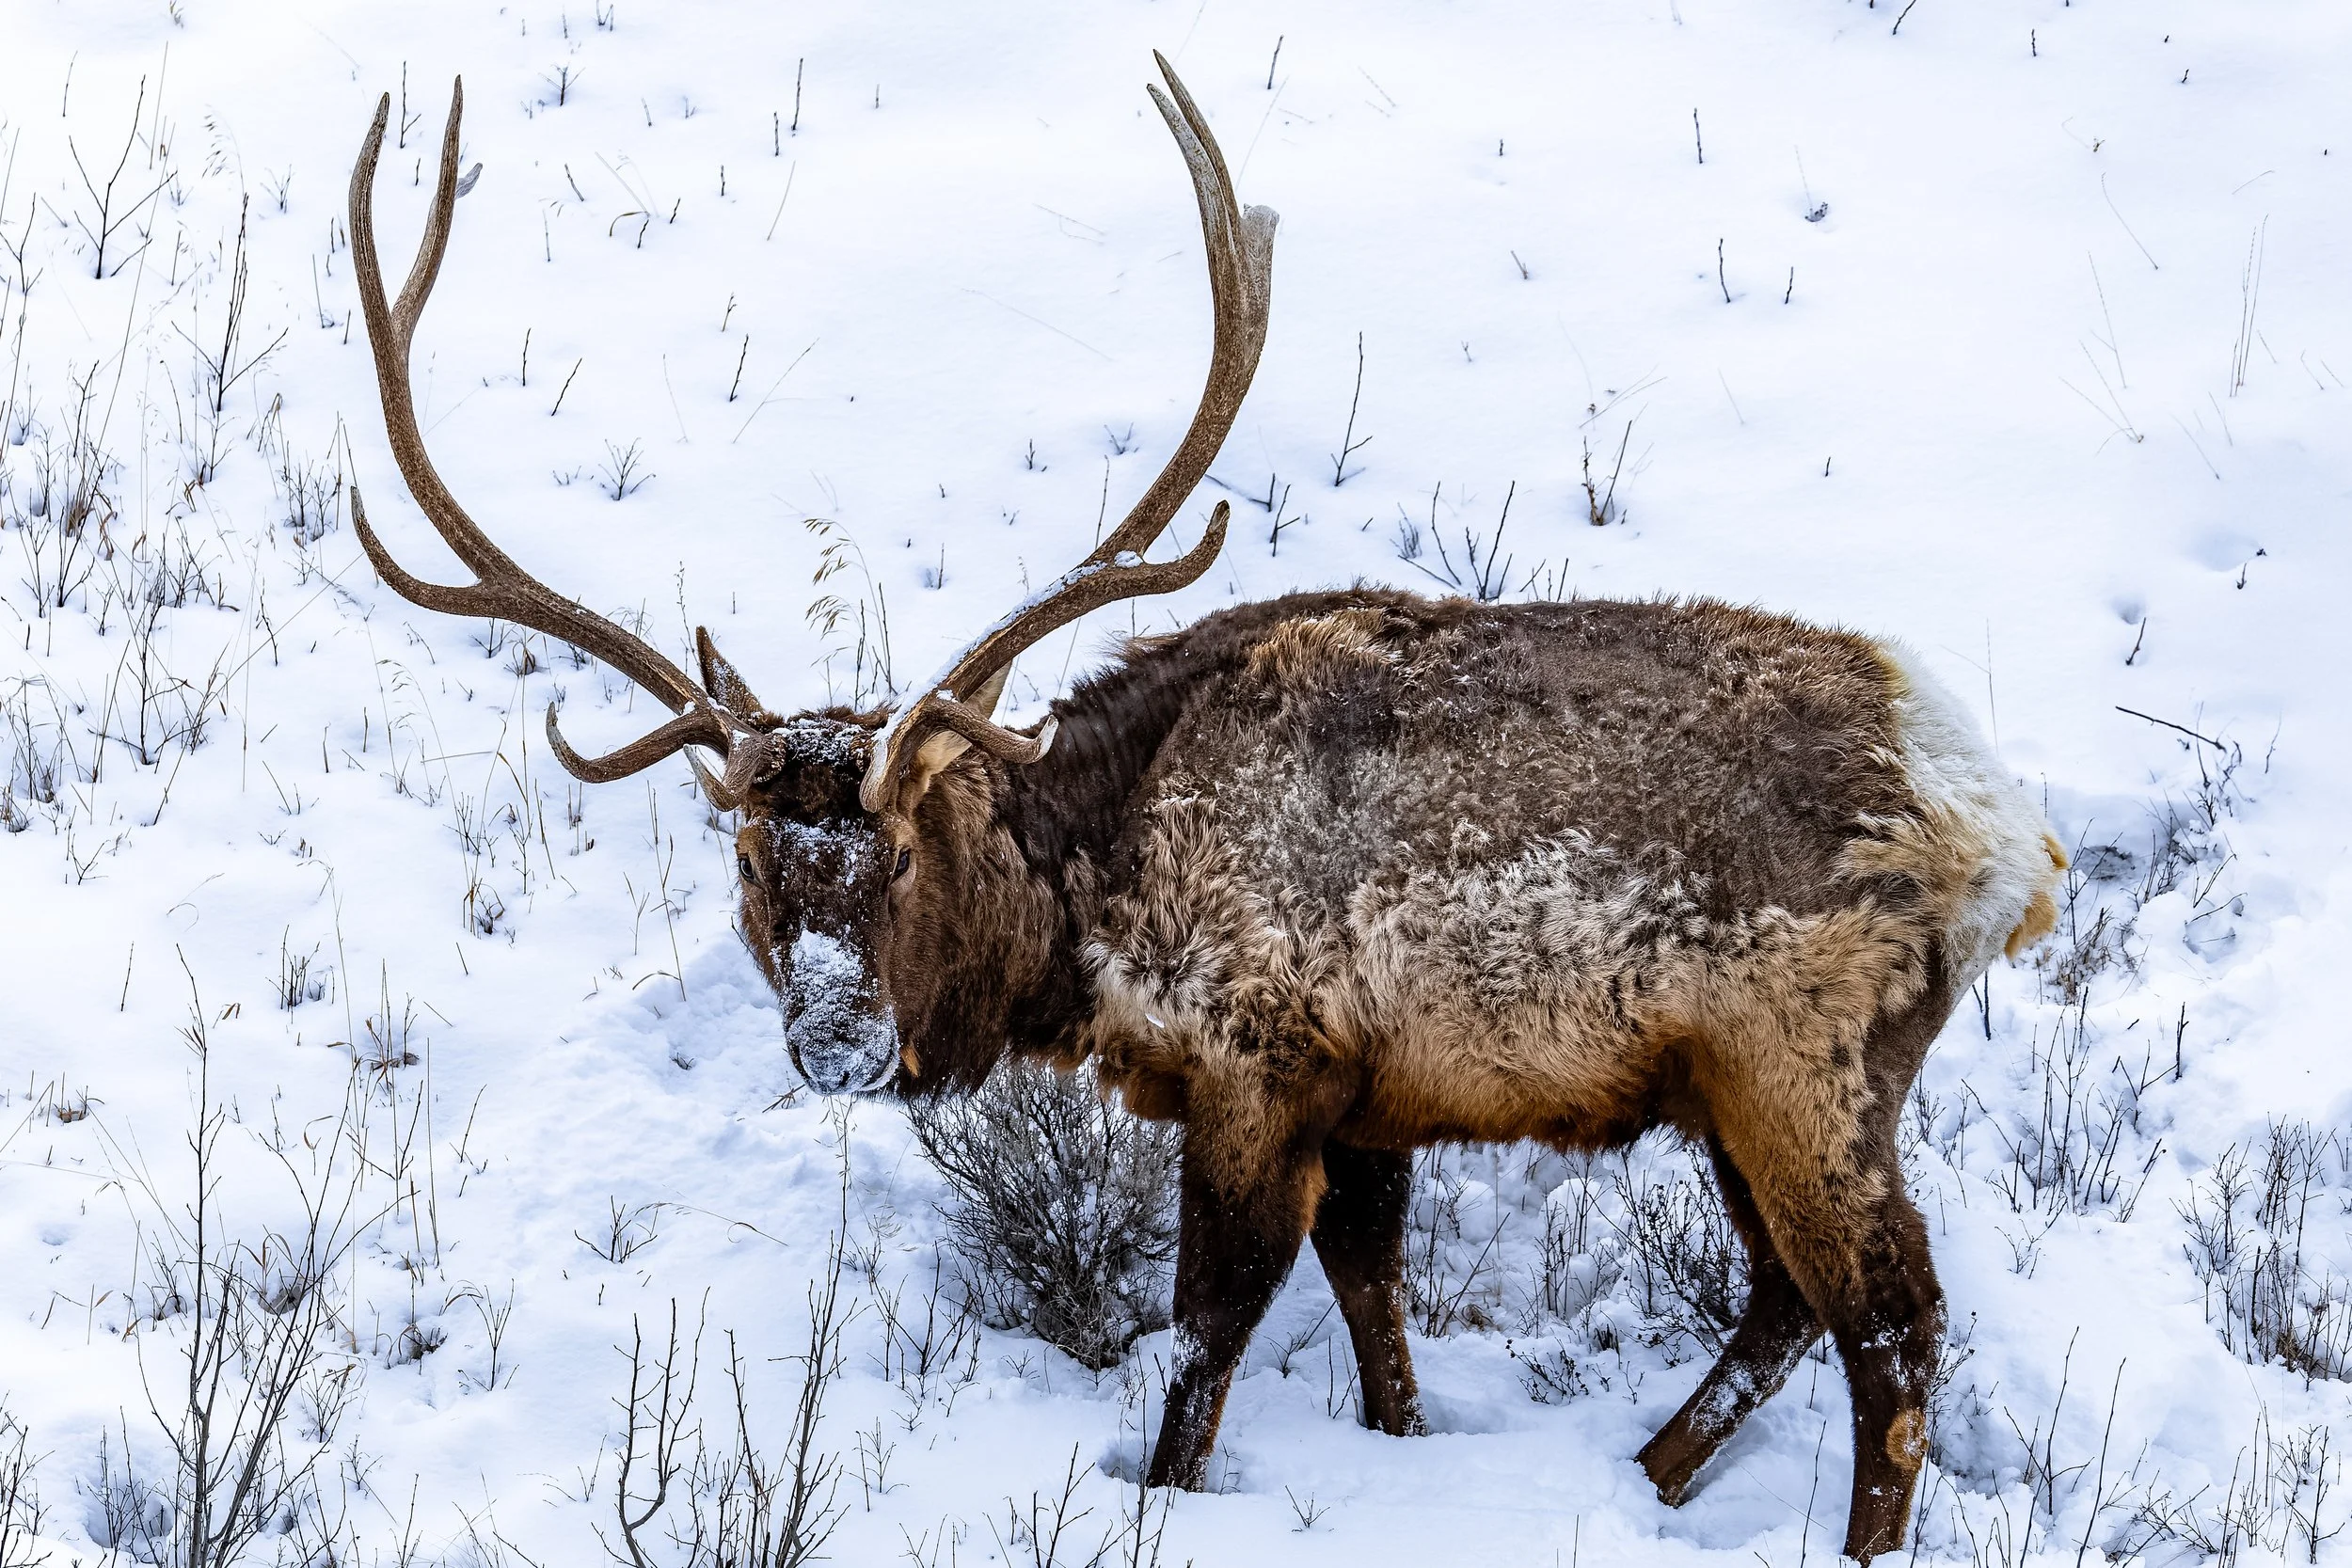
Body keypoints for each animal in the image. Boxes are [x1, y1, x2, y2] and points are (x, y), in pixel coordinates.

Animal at [348, 58, 2065, 1562]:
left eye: (894, 847)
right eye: (755, 861)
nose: (836, 1039)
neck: (1086, 921)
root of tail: (2000, 835)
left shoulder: (1260, 1061)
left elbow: (1204, 1340)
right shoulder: (1378, 1097)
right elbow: (1375, 1305)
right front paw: (1407, 1451)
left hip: (1808, 1056)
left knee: (1890, 1318)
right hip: (1723, 1075)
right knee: (1786, 1301)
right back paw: (1648, 1470)